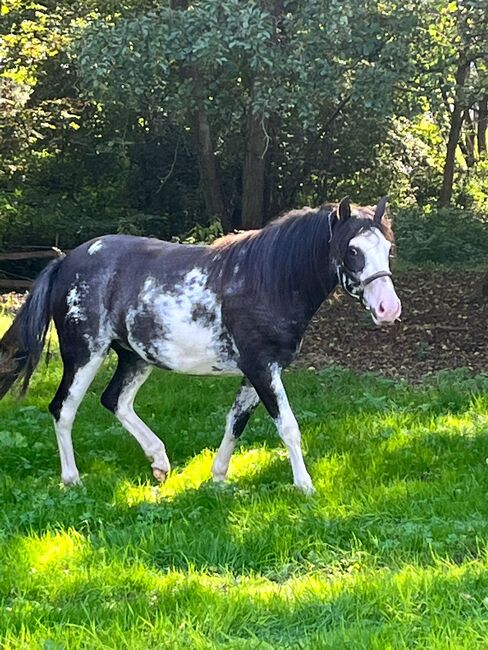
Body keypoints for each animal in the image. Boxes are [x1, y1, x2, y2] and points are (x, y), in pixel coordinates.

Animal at [0, 197, 400, 492]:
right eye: (352, 251)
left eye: (387, 249)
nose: (389, 308)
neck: (267, 281)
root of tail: (65, 260)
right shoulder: (262, 369)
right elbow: (287, 426)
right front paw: (306, 486)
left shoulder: (255, 372)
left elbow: (235, 422)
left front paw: (219, 477)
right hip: (84, 354)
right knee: (63, 409)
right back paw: (72, 479)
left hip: (135, 357)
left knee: (116, 401)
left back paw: (160, 462)